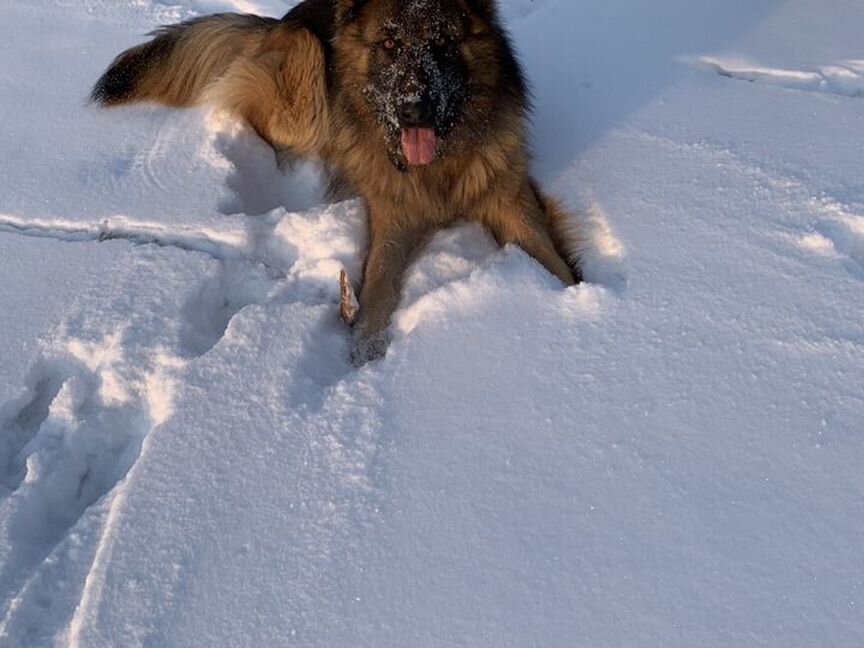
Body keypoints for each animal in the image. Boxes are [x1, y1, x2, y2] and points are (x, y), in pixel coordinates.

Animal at [91, 0, 584, 364]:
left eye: (443, 41)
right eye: (389, 42)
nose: (414, 111)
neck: (439, 164)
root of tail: (282, 21)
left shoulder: (511, 199)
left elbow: (550, 259)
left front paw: (580, 306)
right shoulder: (391, 221)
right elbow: (379, 288)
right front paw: (364, 354)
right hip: (306, 75)